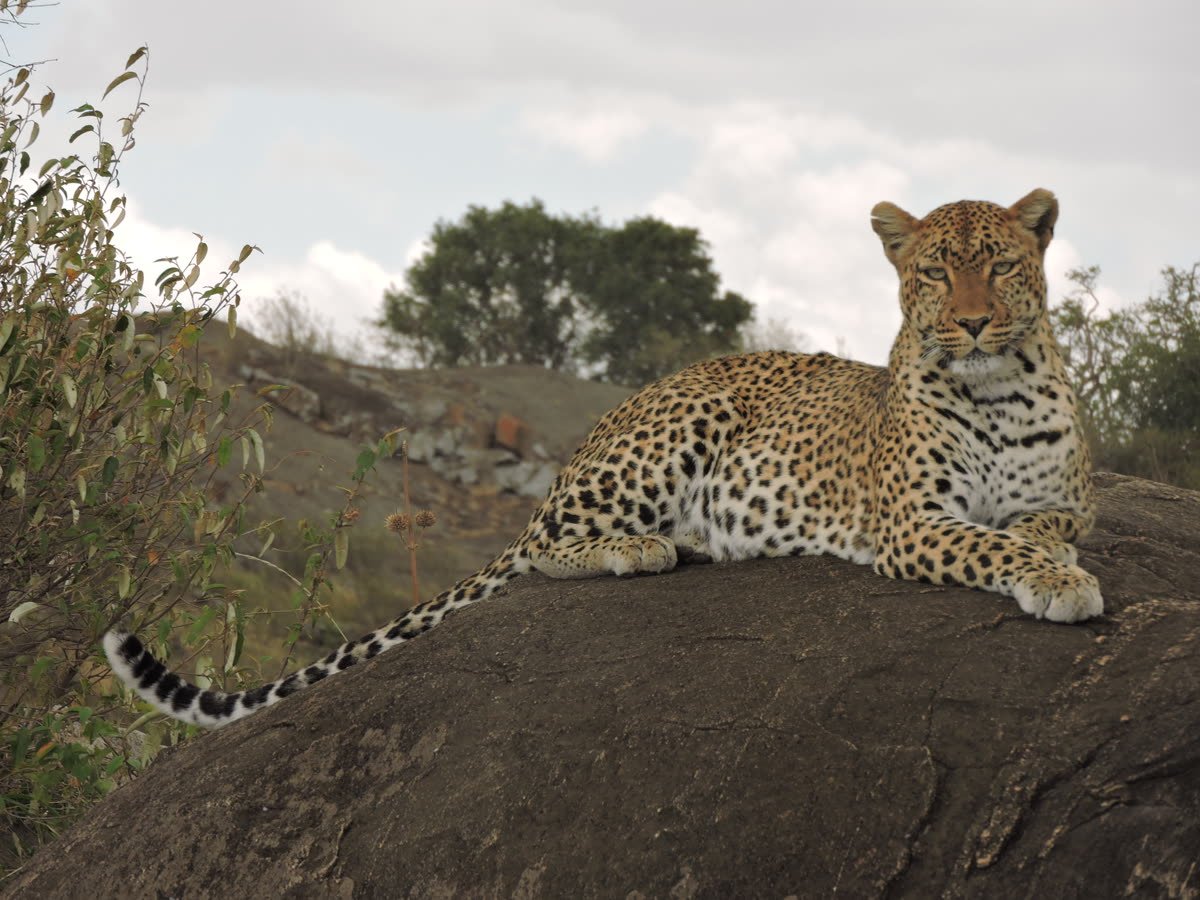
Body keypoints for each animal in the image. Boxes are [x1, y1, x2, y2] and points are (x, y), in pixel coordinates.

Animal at [106, 188, 1101, 728]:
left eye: (1000, 265)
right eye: (933, 272)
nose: (970, 322)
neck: (998, 389)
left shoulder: (1064, 500)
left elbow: (1039, 524)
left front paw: (1056, 560)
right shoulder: (912, 523)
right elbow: (991, 541)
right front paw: (1062, 583)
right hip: (678, 428)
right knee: (549, 547)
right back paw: (646, 546)